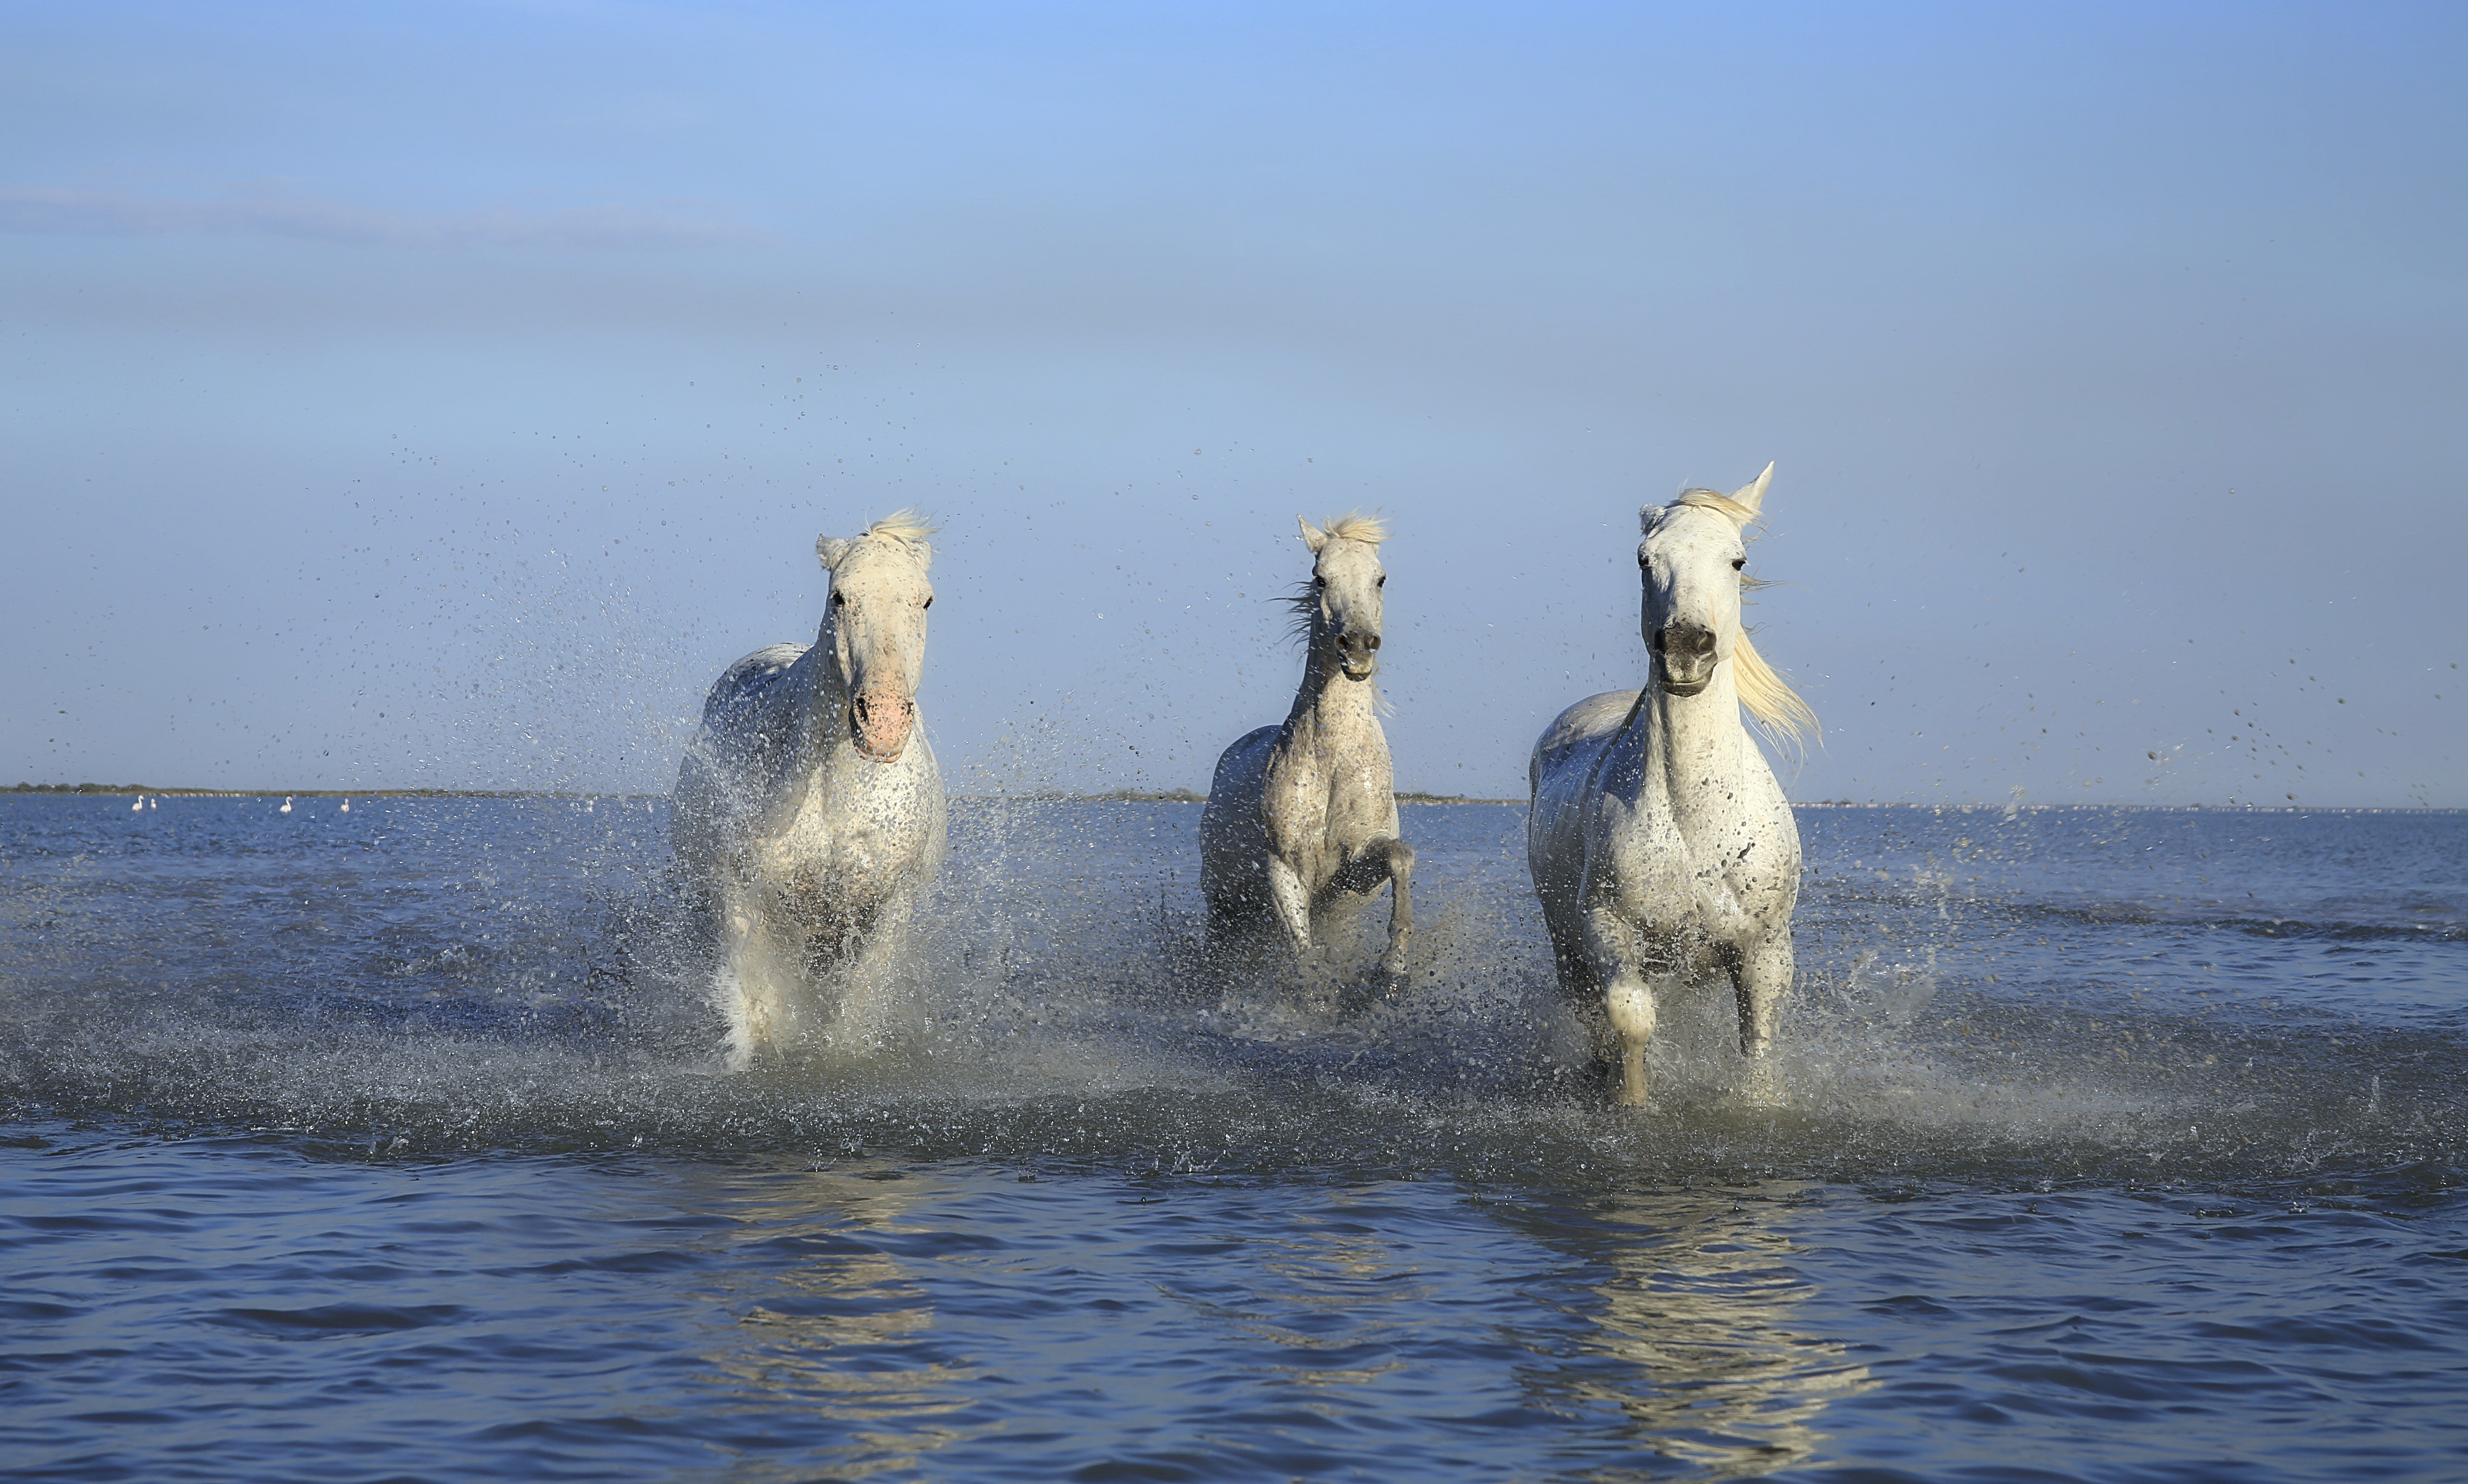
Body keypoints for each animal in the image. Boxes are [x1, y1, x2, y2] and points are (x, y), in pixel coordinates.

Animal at [670, 512, 946, 1066]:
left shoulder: (889, 905)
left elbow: (855, 1008)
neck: (837, 794)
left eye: (925, 600)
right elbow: (758, 1006)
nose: (883, 722)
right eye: (839, 596)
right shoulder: (743, 891)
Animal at [1200, 514, 1415, 984]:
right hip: (1223, 904)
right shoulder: (1284, 869)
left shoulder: (1355, 868)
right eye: (1320, 578)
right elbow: (1303, 950)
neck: (1333, 761)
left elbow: (1400, 856)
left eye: (1380, 578)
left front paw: (1394, 962)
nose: (1358, 645)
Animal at [1526, 465, 1816, 1105]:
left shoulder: (1764, 950)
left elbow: (1756, 1046)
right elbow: (1630, 1019)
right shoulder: (1606, 930)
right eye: (1644, 559)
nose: (1686, 647)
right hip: (1566, 945)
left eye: (1736, 559)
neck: (1696, 820)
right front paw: (1631, 1102)